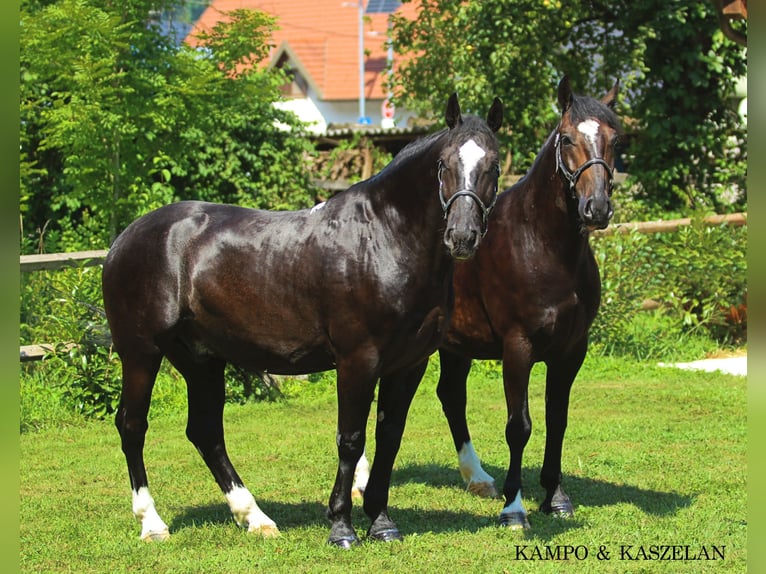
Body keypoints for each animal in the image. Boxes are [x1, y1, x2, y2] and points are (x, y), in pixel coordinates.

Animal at [102, 94, 508, 548]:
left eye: (493, 165)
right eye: (444, 164)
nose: (462, 237)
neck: (382, 239)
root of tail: (125, 239)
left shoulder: (408, 364)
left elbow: (390, 437)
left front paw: (382, 522)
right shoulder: (357, 359)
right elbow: (351, 440)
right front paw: (342, 527)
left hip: (200, 359)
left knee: (205, 432)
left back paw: (255, 517)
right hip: (141, 352)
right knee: (132, 425)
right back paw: (152, 523)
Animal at [436, 76, 620, 532]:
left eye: (615, 140)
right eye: (567, 138)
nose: (596, 208)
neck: (542, 244)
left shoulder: (571, 351)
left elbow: (558, 419)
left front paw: (555, 497)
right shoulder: (517, 347)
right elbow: (519, 426)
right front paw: (514, 507)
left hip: (455, 345)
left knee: (451, 396)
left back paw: (478, 479)